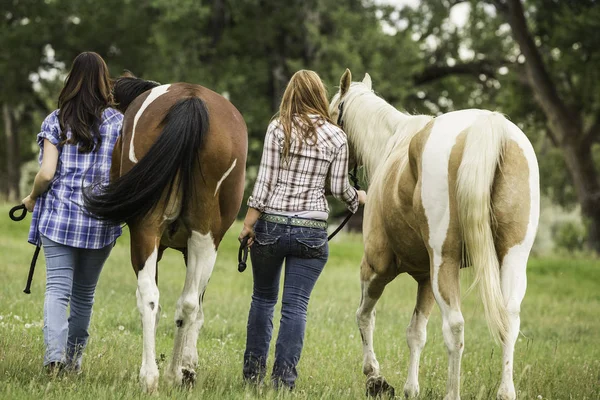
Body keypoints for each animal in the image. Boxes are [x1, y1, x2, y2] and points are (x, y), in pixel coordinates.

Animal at [83, 74, 247, 390]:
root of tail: (191, 99)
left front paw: (186, 365)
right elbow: (195, 306)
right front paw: (188, 365)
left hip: (152, 232)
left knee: (156, 298)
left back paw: (155, 375)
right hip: (201, 238)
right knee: (184, 303)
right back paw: (169, 374)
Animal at [330, 69, 540, 400]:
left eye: (328, 115)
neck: (392, 144)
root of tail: (487, 125)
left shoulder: (376, 267)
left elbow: (364, 316)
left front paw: (374, 376)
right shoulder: (425, 278)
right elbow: (416, 332)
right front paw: (410, 388)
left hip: (445, 263)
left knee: (454, 327)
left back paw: (452, 392)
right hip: (512, 257)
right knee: (510, 318)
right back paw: (505, 391)